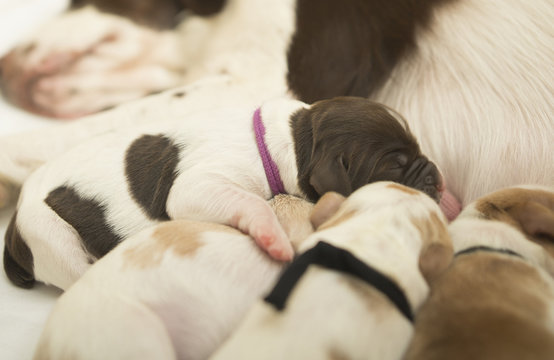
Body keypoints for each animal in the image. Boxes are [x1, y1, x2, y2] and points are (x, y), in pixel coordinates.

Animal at [3, 95, 444, 290]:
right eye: (395, 165)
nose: (437, 175)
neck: (293, 138)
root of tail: (14, 226)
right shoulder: (198, 185)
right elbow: (247, 201)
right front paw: (271, 236)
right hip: (51, 238)